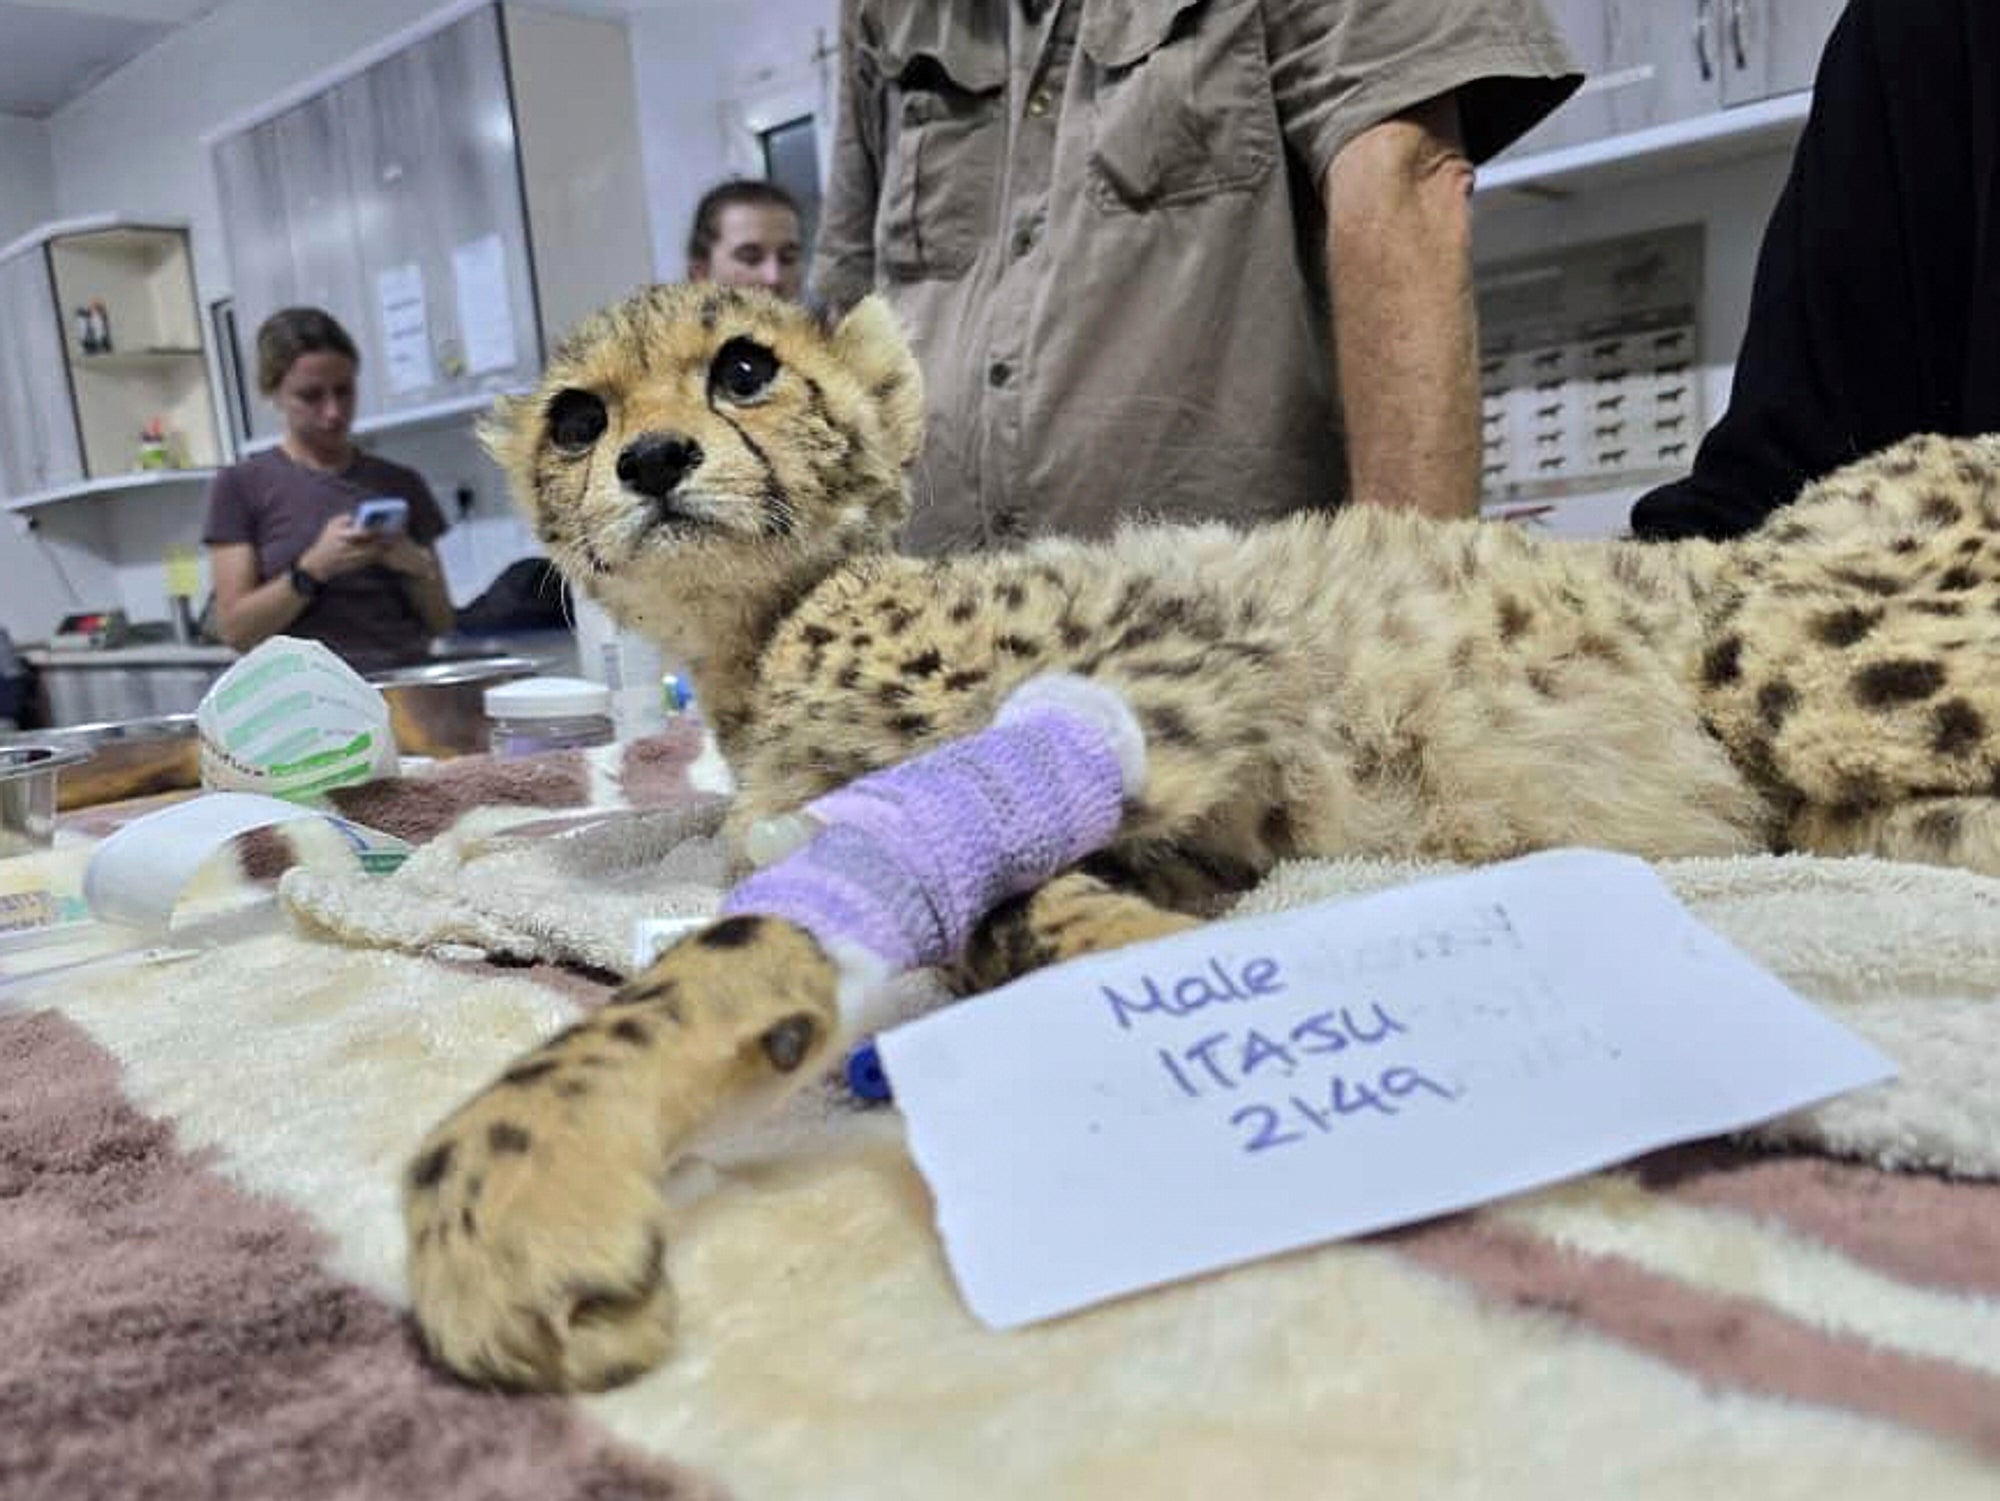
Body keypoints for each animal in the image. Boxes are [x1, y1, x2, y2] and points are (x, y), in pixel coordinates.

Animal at [402, 281, 2000, 1393]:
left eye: (743, 366)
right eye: (577, 417)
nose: (657, 459)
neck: (764, 631)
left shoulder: (1192, 668)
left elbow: (781, 922)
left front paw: (510, 1181)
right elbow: (990, 907)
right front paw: (1128, 956)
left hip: (1789, 642)